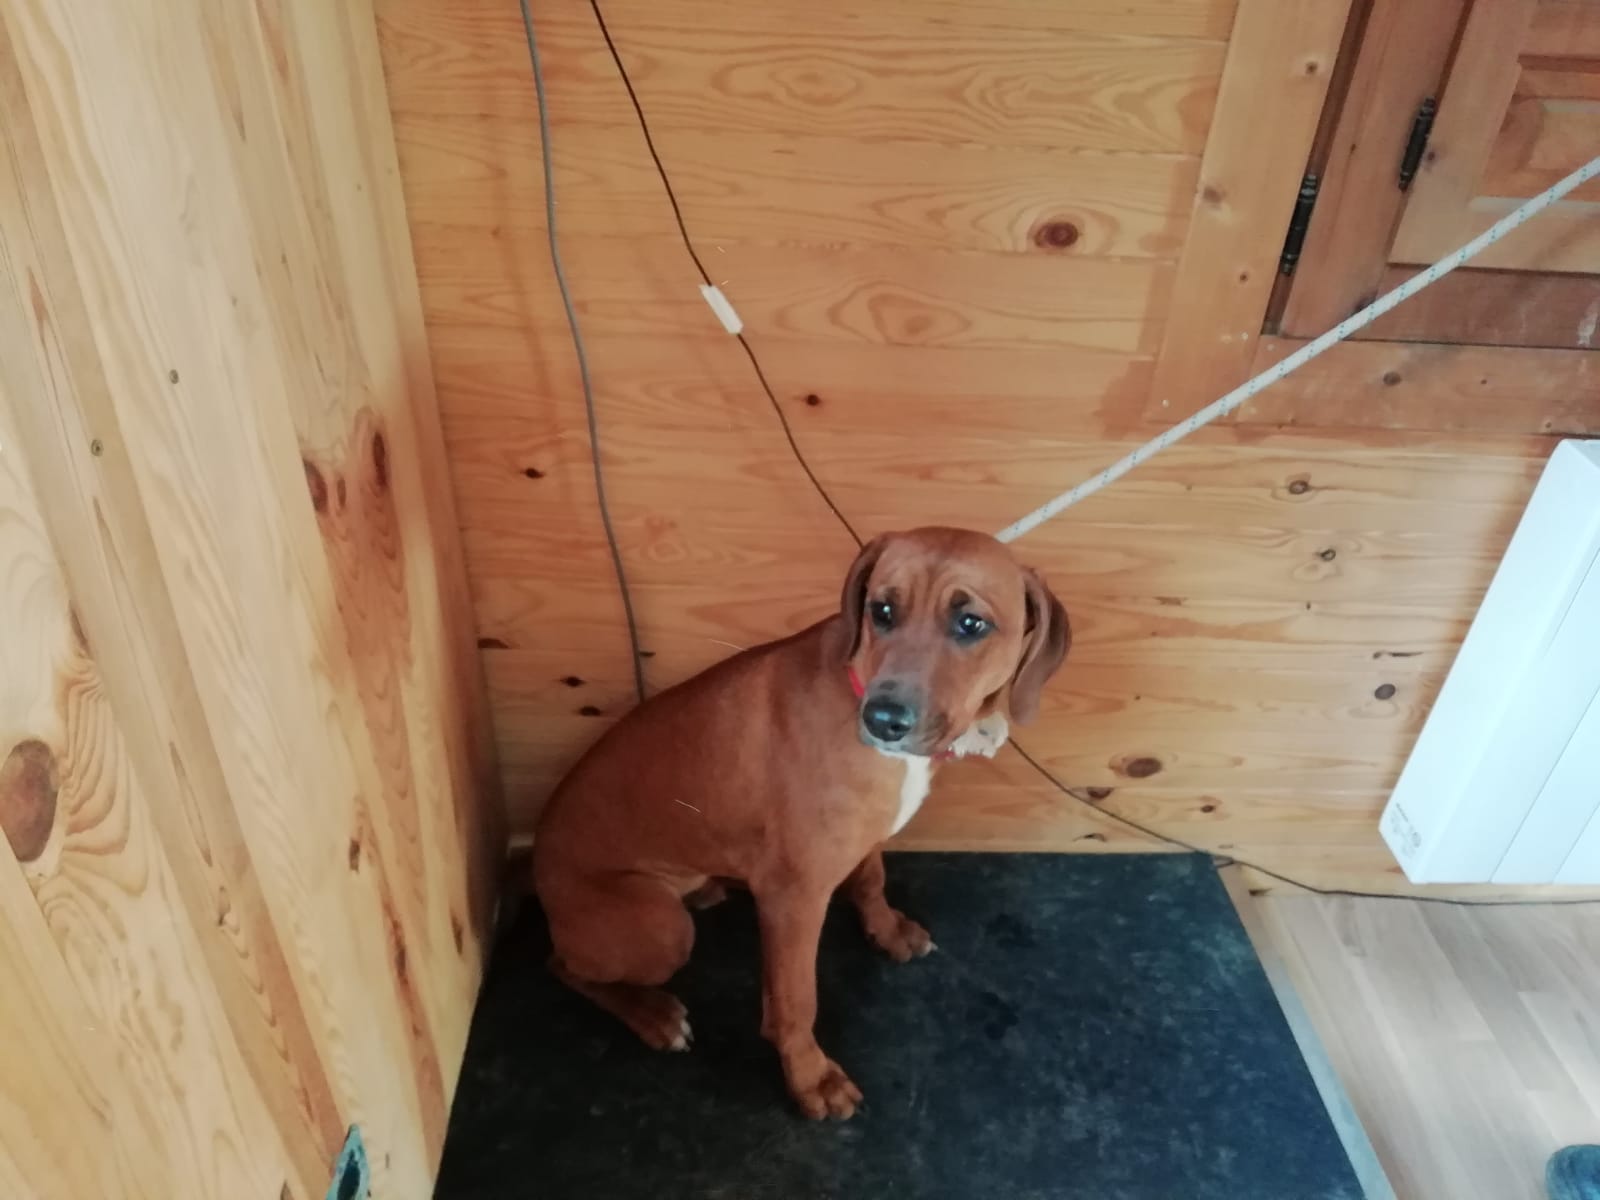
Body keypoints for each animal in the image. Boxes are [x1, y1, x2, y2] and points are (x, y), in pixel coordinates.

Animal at [531, 527, 1070, 1119]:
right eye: (882, 611)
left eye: (971, 624)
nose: (883, 720)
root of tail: (536, 869)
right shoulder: (792, 899)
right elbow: (794, 1003)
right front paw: (811, 1077)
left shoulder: (863, 837)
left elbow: (871, 880)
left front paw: (886, 931)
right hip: (660, 930)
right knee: (563, 965)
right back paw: (652, 1014)